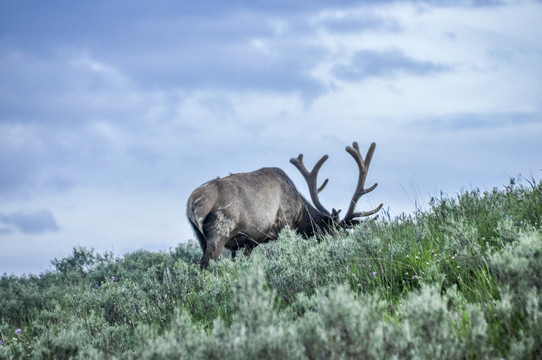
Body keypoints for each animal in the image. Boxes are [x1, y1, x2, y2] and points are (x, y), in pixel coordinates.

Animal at [187, 141, 382, 268]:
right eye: (333, 232)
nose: (342, 248)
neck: (300, 212)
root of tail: (192, 202)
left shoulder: (248, 242)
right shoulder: (284, 225)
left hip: (200, 235)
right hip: (220, 230)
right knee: (206, 263)